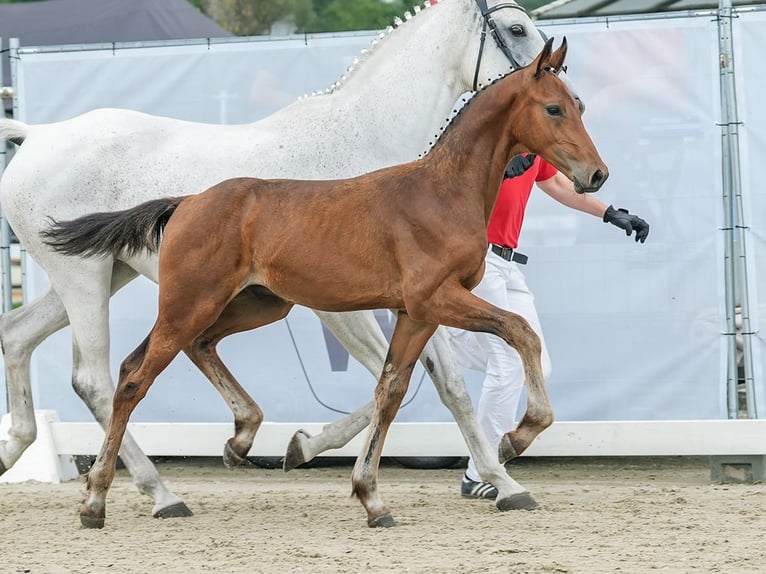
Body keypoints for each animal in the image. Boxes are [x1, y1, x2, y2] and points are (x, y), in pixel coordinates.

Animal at [0, 0, 580, 520]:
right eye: (516, 28)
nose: (572, 94)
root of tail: (37, 135)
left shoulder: (413, 301)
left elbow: (440, 385)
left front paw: (503, 480)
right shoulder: (346, 309)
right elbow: (405, 381)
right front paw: (305, 447)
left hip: (102, 276)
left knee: (19, 336)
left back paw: (21, 450)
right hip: (87, 280)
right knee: (98, 379)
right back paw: (155, 493)